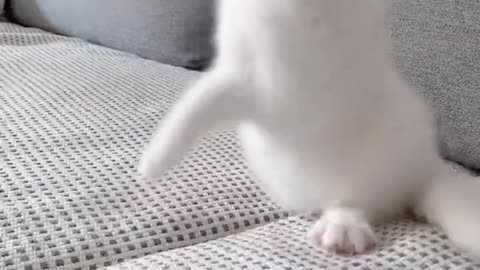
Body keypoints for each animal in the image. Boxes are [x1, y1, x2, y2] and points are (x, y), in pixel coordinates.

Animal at [138, 0, 480, 258]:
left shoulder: (294, 94)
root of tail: (426, 168)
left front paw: (150, 166)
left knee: (357, 202)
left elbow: (201, 102)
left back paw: (341, 232)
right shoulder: (240, 76)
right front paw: (154, 162)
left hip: (364, 169)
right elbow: (198, 102)